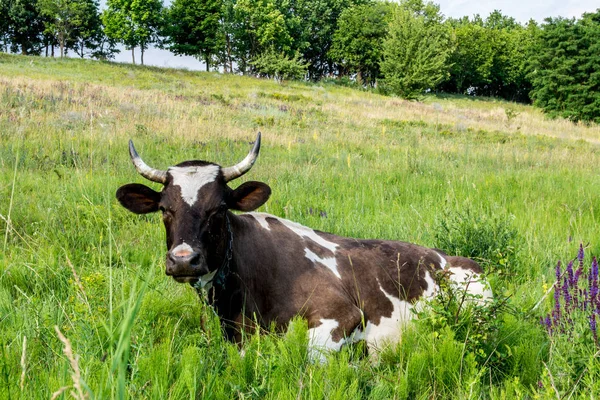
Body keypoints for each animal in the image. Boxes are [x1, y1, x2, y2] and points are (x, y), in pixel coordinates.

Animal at [117, 132, 492, 360]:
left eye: (219, 208)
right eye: (164, 209)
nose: (184, 260)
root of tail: (466, 260)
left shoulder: (341, 313)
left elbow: (305, 356)